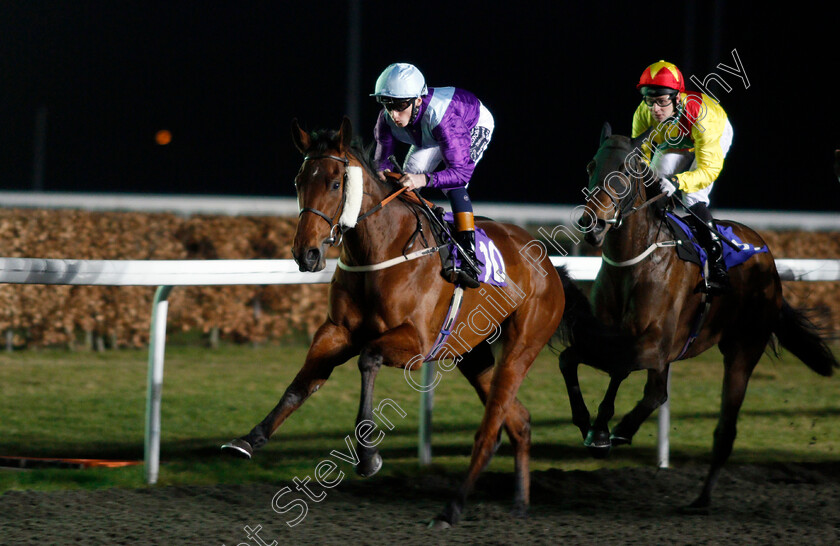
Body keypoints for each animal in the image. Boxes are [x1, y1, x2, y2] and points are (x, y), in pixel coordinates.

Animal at [223, 117, 568, 524]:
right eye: (298, 181)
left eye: (336, 183)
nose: (305, 254)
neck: (380, 249)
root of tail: (547, 262)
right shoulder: (336, 331)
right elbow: (302, 384)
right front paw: (249, 439)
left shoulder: (417, 344)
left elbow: (368, 358)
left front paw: (367, 456)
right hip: (472, 355)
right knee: (518, 421)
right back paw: (519, 502)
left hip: (521, 346)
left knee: (490, 430)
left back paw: (452, 509)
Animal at [556, 122, 836, 510]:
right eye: (590, 165)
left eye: (627, 170)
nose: (593, 224)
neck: (633, 263)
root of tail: (767, 257)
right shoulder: (613, 337)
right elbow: (571, 359)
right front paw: (592, 426)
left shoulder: (654, 344)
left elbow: (620, 367)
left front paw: (602, 431)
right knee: (656, 393)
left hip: (742, 350)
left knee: (724, 427)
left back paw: (701, 498)